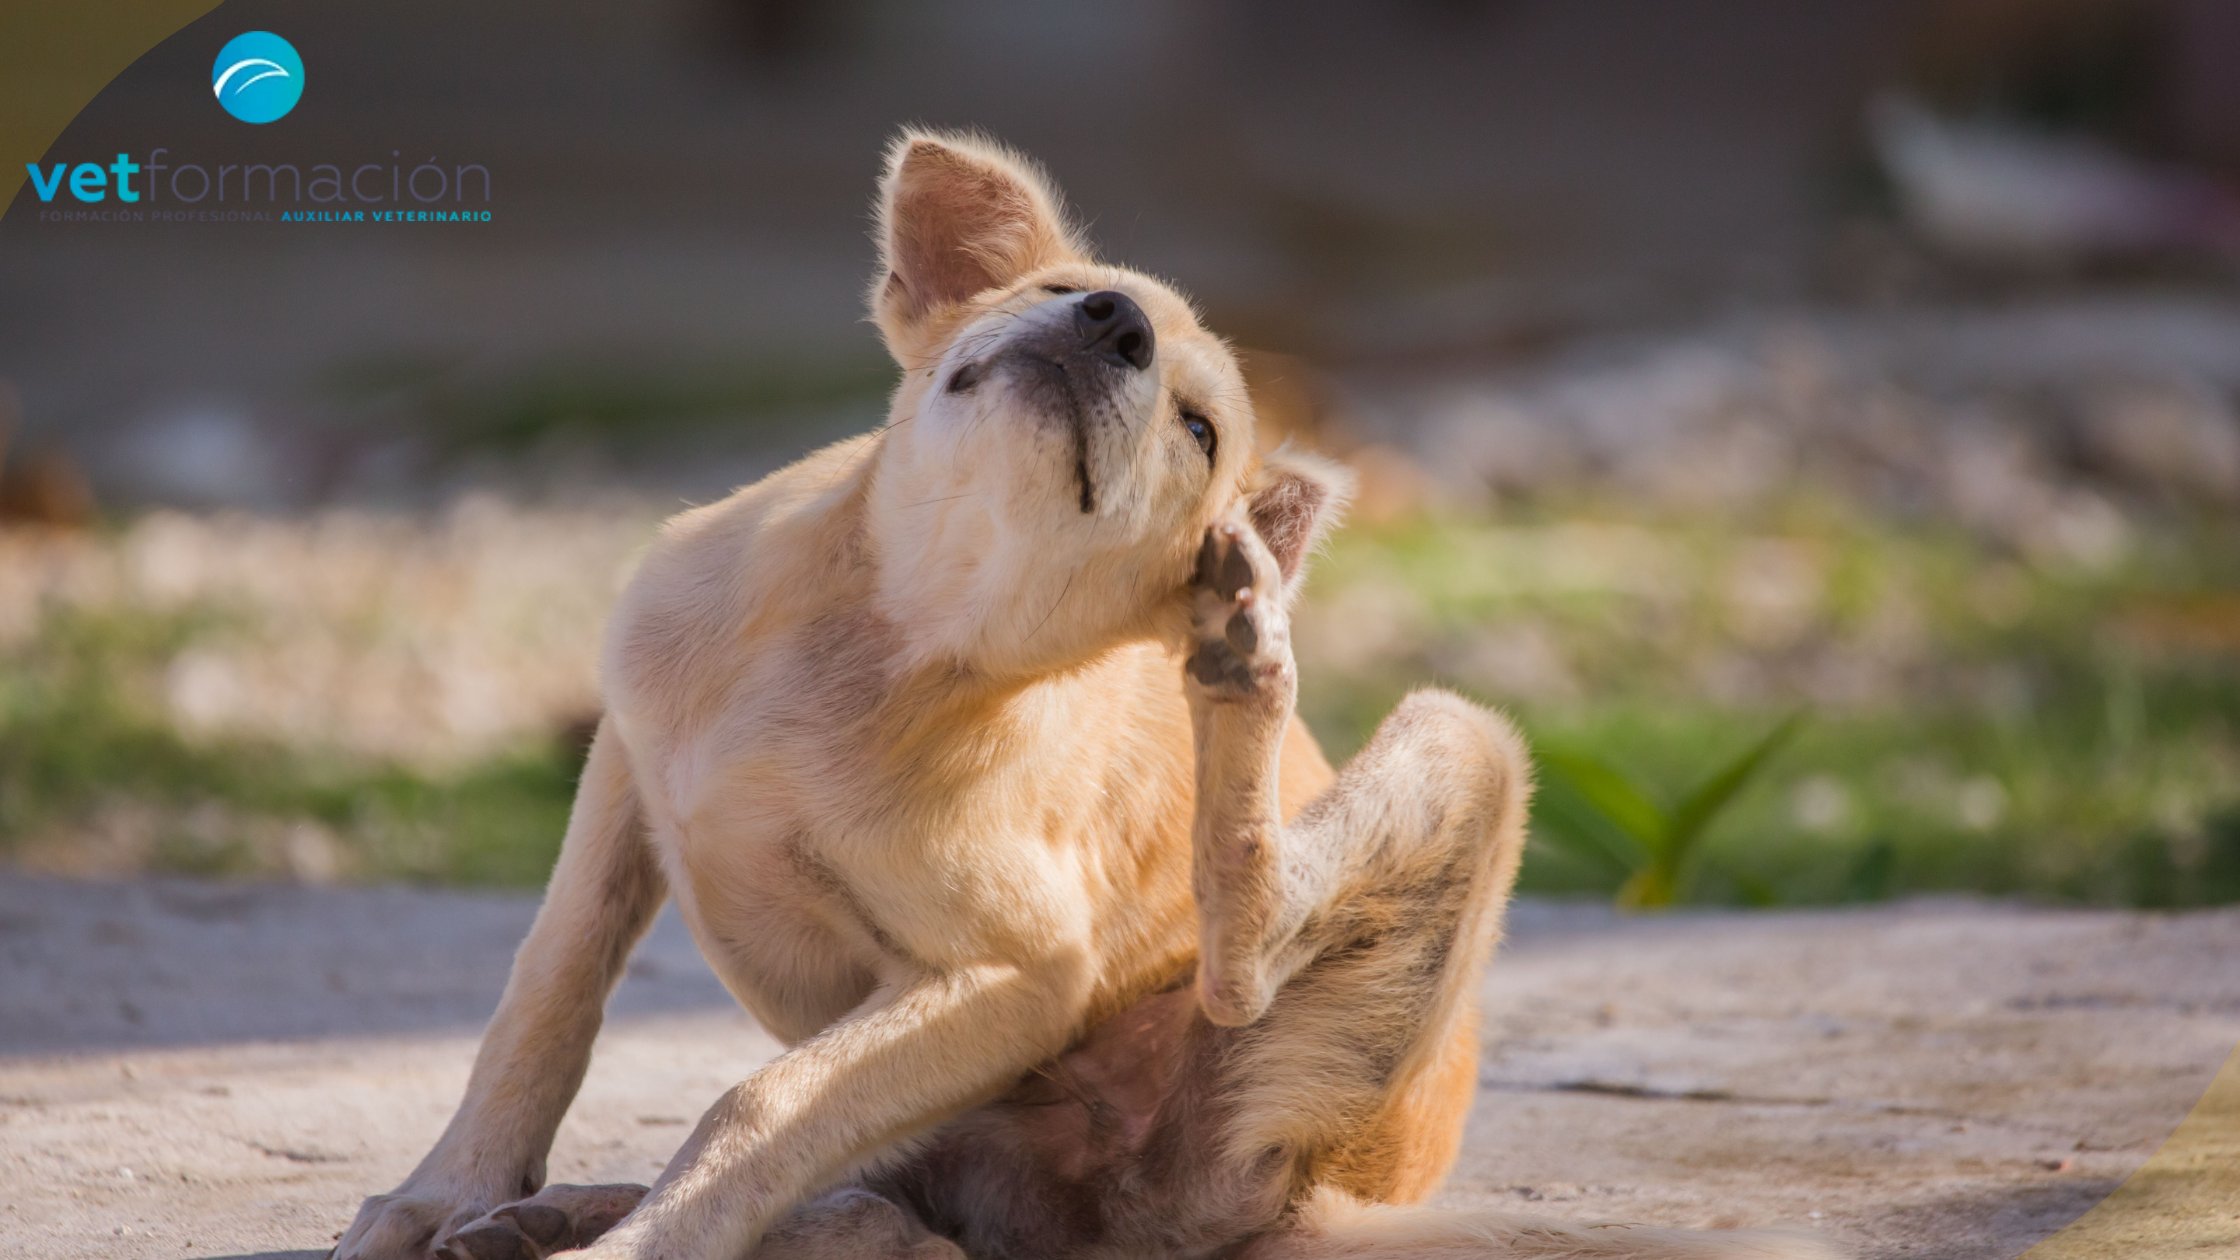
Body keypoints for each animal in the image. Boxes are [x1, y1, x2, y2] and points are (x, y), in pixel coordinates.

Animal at [327, 130, 1836, 1255]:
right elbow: (544, 1000)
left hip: (1429, 792)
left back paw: (1244, 662)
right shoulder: (625, 774)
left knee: (1227, 964)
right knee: (888, 1211)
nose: (1106, 324)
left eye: (1200, 429)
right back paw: (563, 1213)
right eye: (1064, 290)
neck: (885, 632)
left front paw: (640, 1243)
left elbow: (759, 1105)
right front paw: (446, 1194)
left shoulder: (1010, 974)